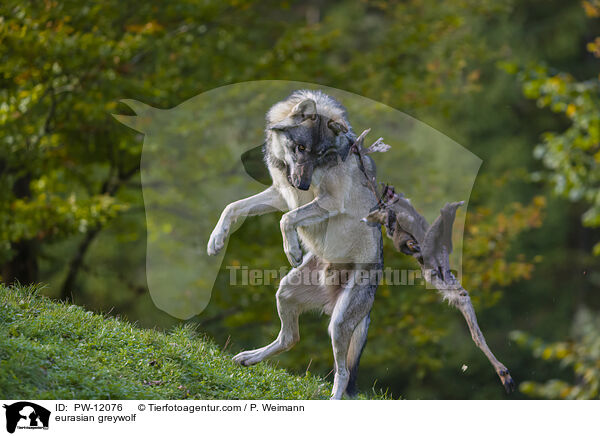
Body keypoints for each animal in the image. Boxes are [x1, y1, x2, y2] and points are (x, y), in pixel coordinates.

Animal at [209, 90, 382, 400]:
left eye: (320, 154)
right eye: (300, 148)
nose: (302, 185)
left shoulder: (327, 201)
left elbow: (286, 220)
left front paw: (292, 250)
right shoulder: (281, 193)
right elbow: (233, 207)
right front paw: (216, 240)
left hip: (338, 324)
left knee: (342, 373)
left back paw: (333, 400)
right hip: (286, 292)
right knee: (291, 338)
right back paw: (249, 358)